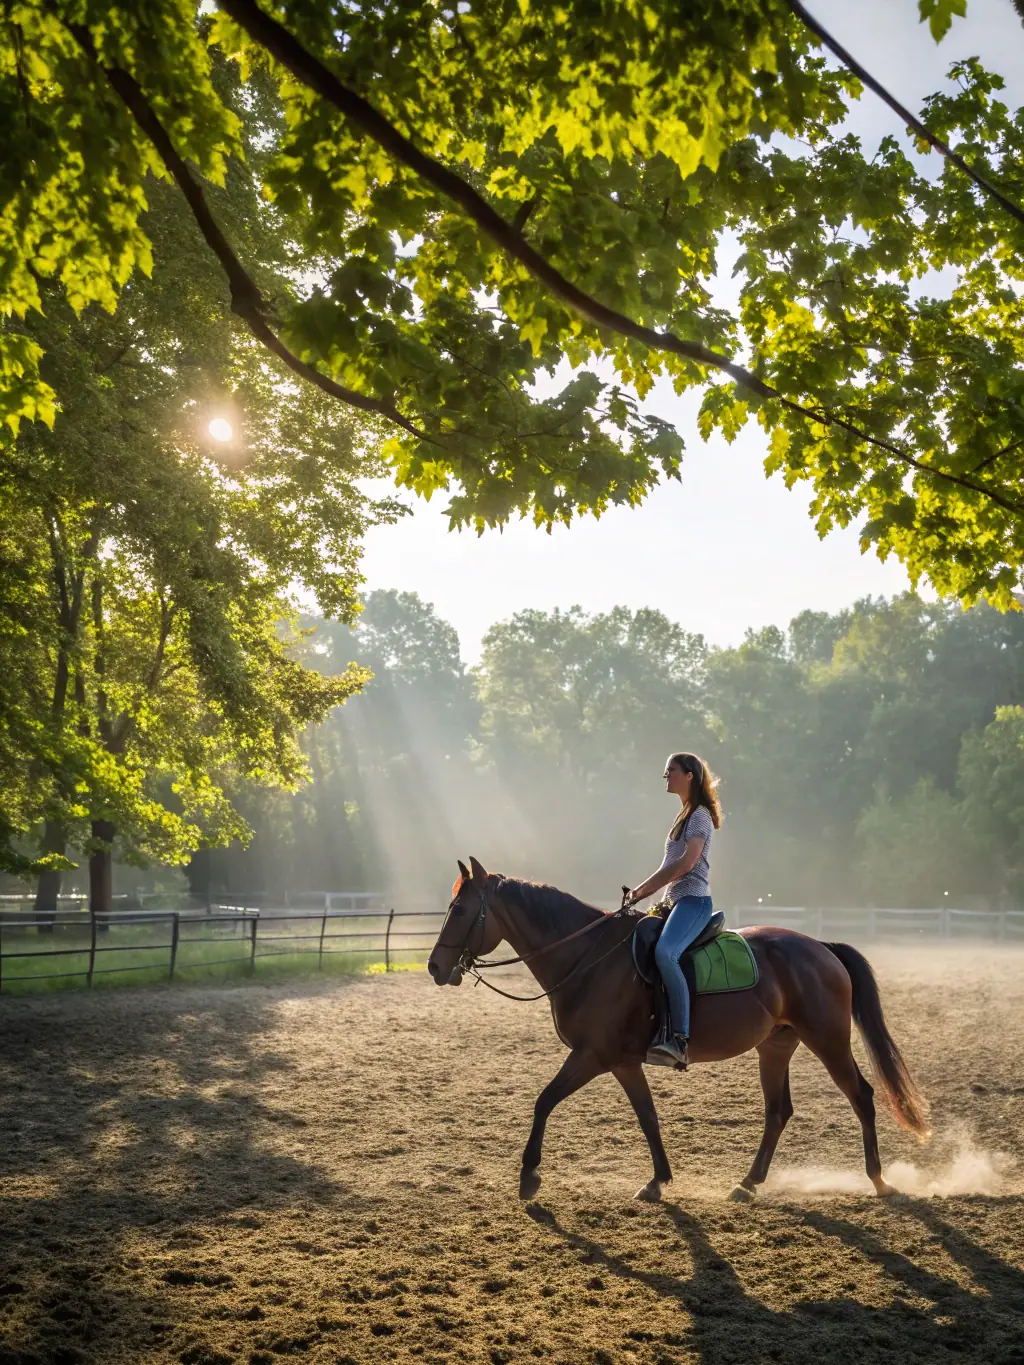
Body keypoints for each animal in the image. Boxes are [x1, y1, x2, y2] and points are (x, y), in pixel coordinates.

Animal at [427, 857, 930, 1203]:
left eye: (460, 909)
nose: (434, 967)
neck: (587, 959)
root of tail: (820, 946)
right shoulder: (622, 1062)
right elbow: (647, 1117)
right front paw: (657, 1181)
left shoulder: (591, 1055)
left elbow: (544, 1100)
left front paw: (529, 1176)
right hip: (776, 1047)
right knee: (778, 1112)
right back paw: (747, 1184)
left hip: (827, 1040)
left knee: (861, 1095)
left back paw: (879, 1181)